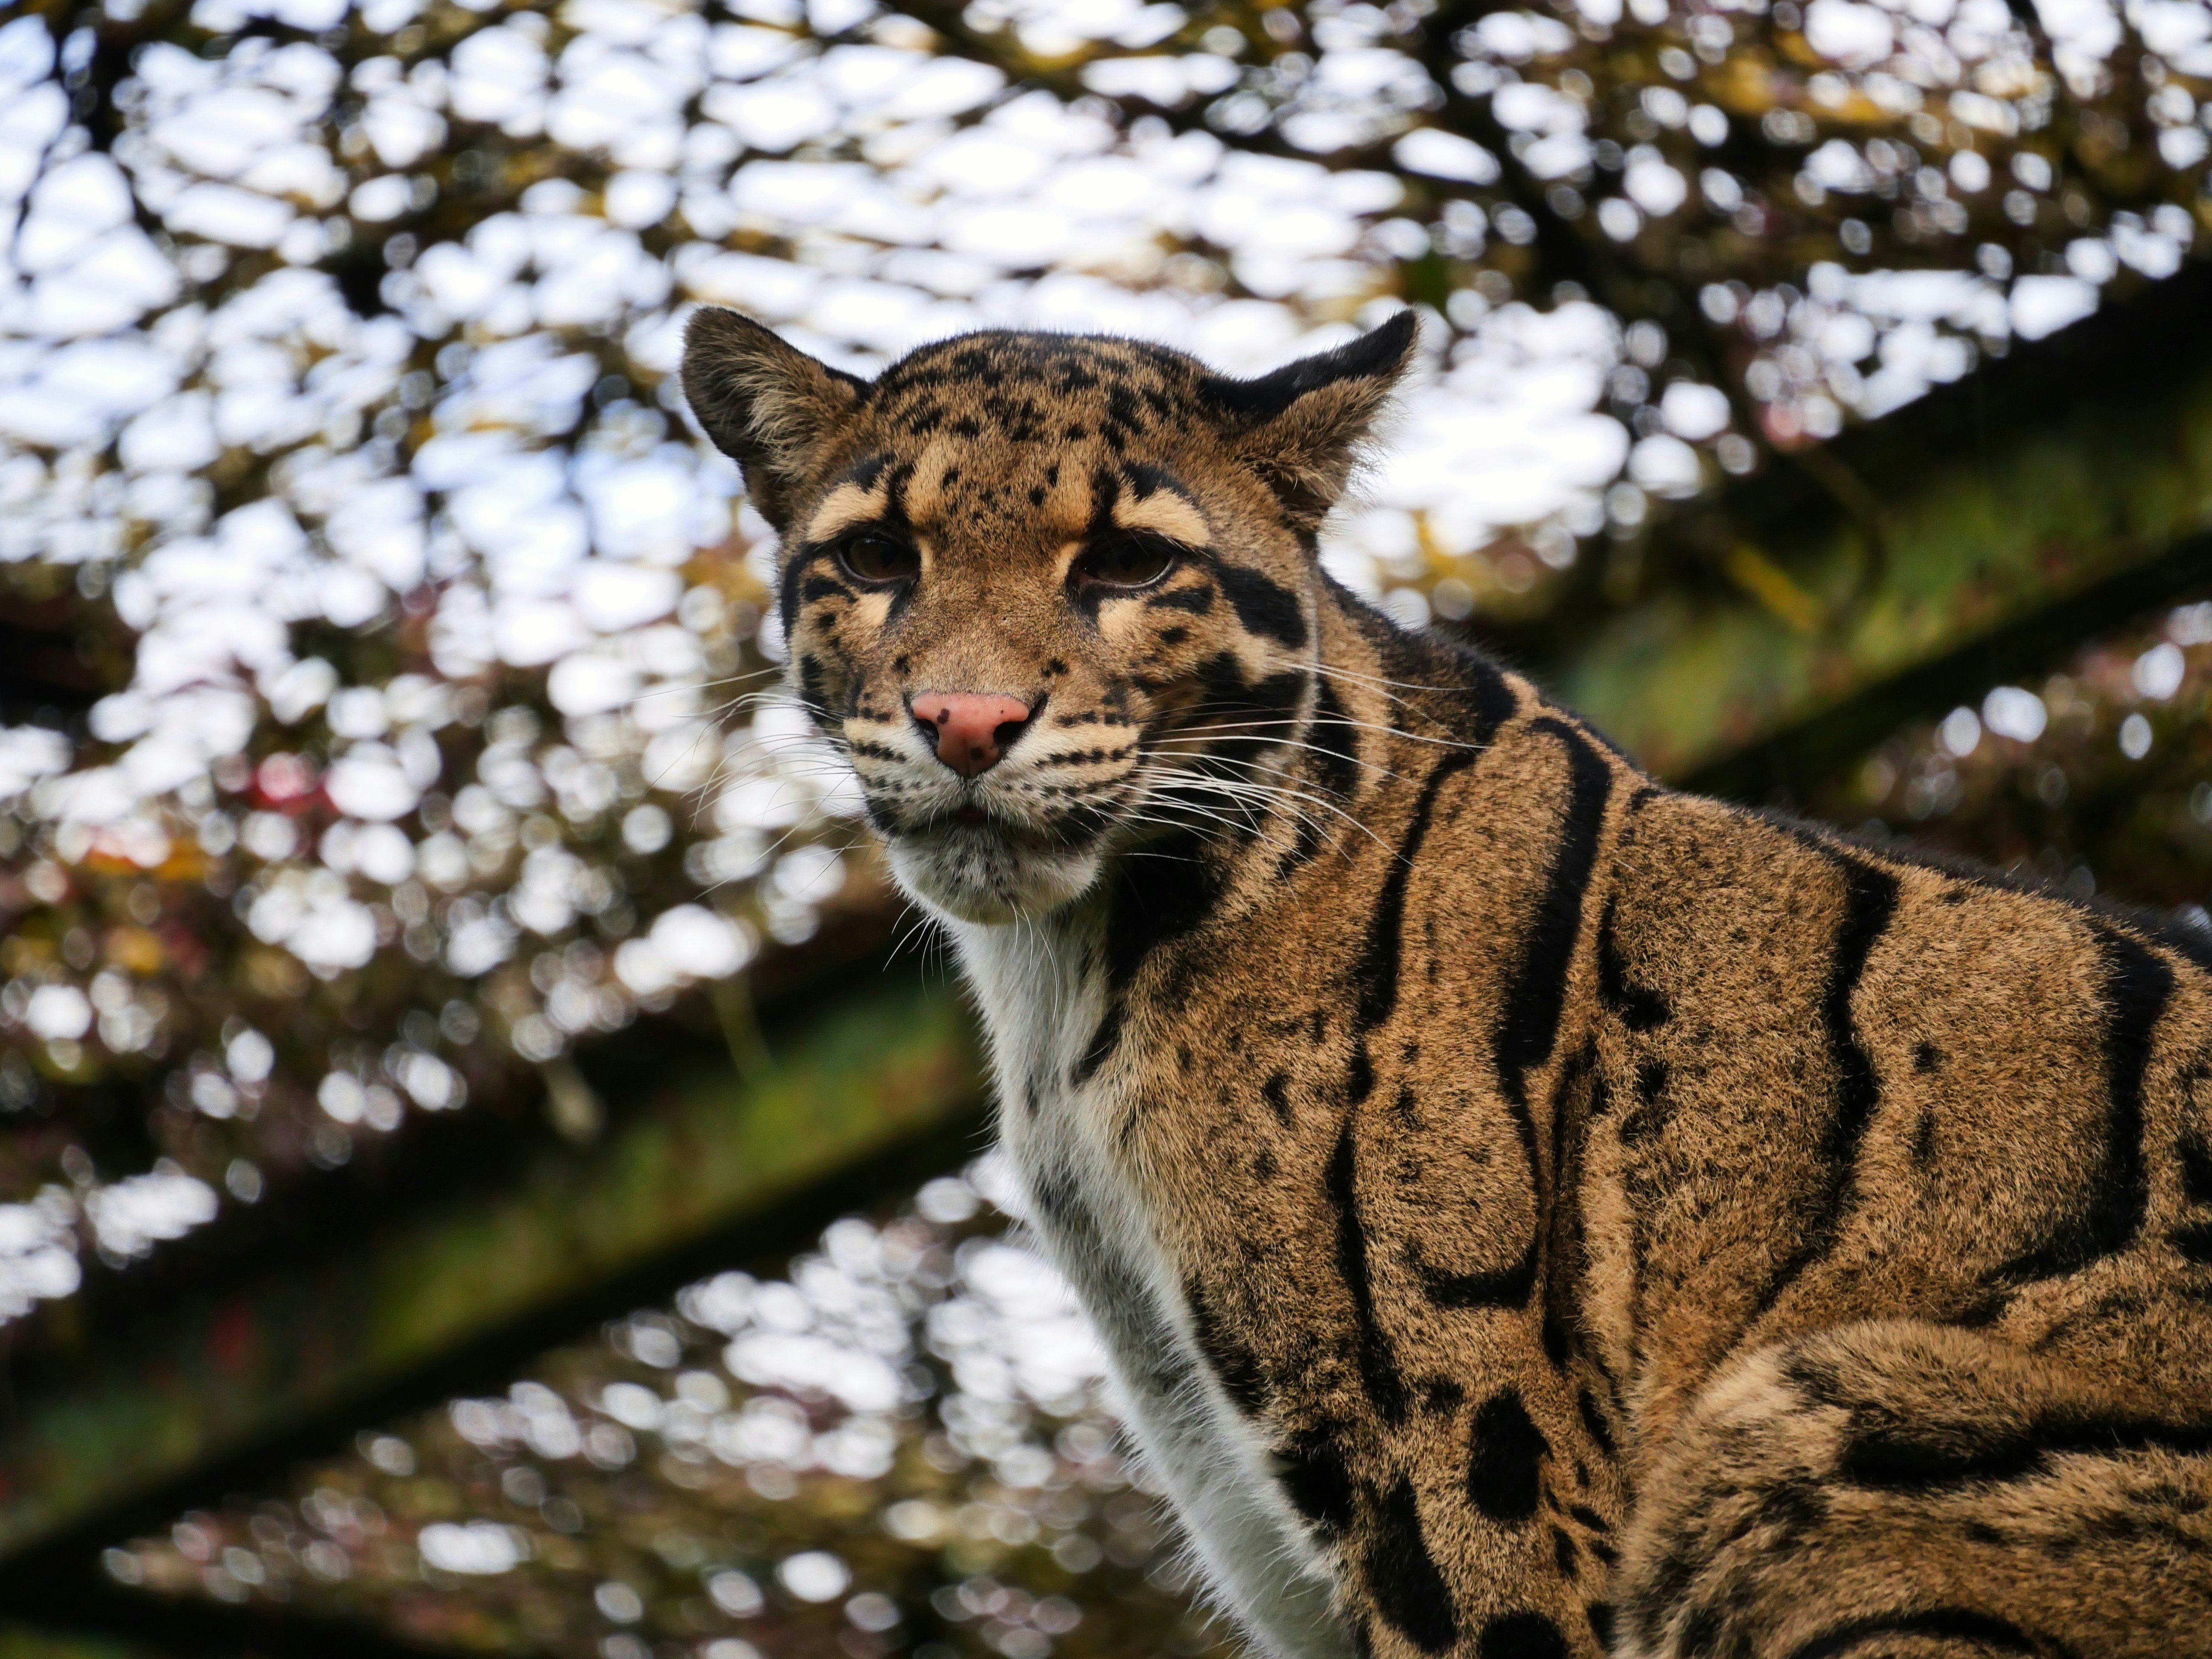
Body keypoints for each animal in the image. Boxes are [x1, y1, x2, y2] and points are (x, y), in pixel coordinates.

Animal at [681, 304, 2212, 1659]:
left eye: (1127, 564)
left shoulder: (1468, 1468)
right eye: (876, 553)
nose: (964, 721)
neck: (1063, 976)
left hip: (1804, 1418)